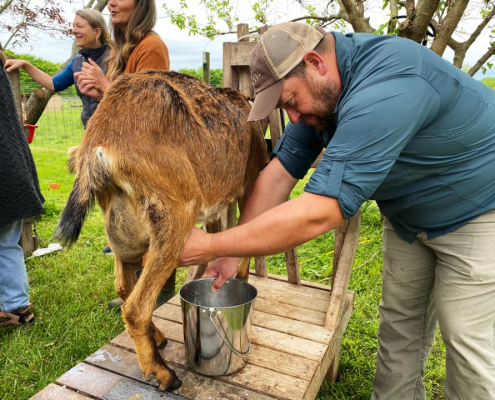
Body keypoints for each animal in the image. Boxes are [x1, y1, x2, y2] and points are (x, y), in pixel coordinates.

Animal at [54, 69, 268, 390]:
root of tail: (99, 144)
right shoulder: (247, 183)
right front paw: (240, 275)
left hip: (119, 226)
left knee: (124, 287)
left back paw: (157, 338)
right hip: (175, 213)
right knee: (135, 307)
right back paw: (164, 373)